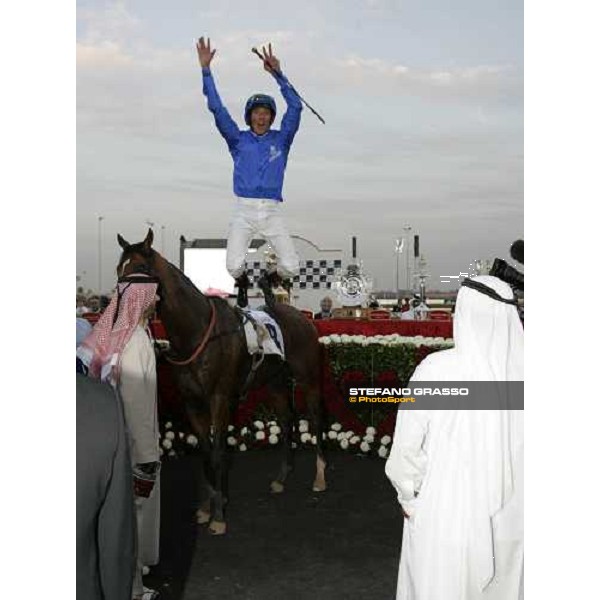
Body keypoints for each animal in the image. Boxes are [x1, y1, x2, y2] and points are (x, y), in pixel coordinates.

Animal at [115, 230, 326, 536]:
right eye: (119, 269)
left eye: (142, 268)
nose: (122, 309)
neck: (197, 332)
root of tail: (299, 315)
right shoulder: (192, 403)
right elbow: (204, 454)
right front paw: (208, 507)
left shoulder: (219, 399)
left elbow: (217, 453)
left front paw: (218, 516)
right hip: (274, 384)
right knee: (287, 421)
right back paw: (281, 478)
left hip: (308, 379)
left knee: (315, 417)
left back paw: (320, 476)